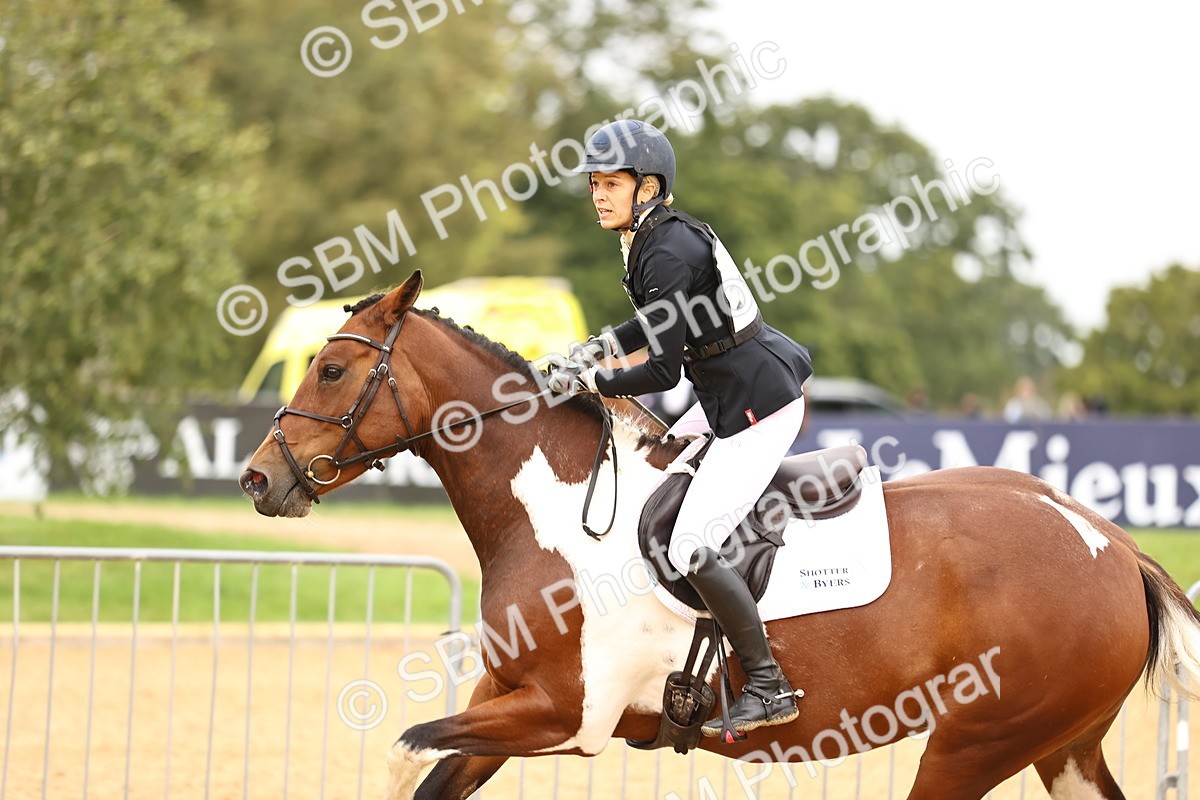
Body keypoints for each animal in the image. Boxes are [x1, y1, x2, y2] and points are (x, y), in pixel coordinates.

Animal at [240, 270, 1200, 800]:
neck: (552, 506)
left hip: (977, 743)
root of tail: (1112, 543)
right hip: (1064, 745)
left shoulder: (566, 717)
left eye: (332, 369)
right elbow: (430, 770)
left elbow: (403, 754)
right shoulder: (503, 702)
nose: (258, 478)